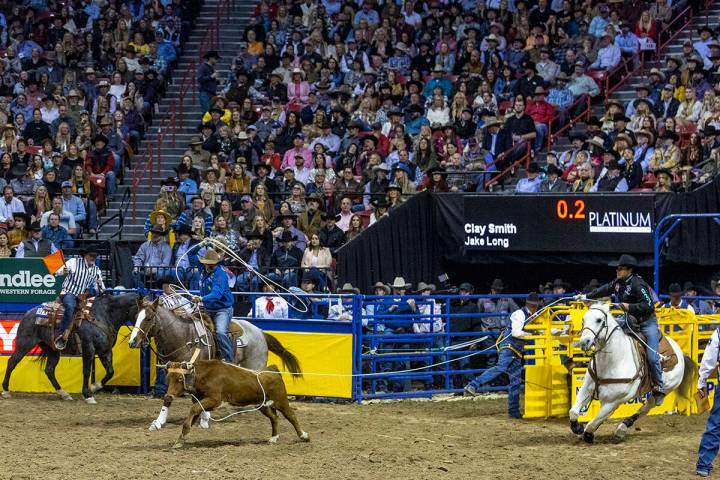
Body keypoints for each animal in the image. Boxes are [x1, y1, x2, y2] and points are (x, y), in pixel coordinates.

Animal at [1, 294, 140, 404]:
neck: (103, 315)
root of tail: (28, 313)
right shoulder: (88, 348)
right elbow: (86, 371)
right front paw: (88, 394)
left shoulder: (105, 351)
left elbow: (110, 371)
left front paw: (94, 387)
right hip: (24, 344)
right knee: (12, 362)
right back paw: (6, 390)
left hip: (51, 349)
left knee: (49, 370)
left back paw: (64, 393)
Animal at [568, 304, 692, 442]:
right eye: (583, 320)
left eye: (599, 320)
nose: (584, 342)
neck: (613, 362)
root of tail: (679, 352)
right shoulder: (586, 388)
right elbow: (573, 412)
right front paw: (578, 428)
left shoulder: (613, 402)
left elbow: (593, 423)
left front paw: (588, 435)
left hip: (664, 389)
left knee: (645, 408)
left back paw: (621, 429)